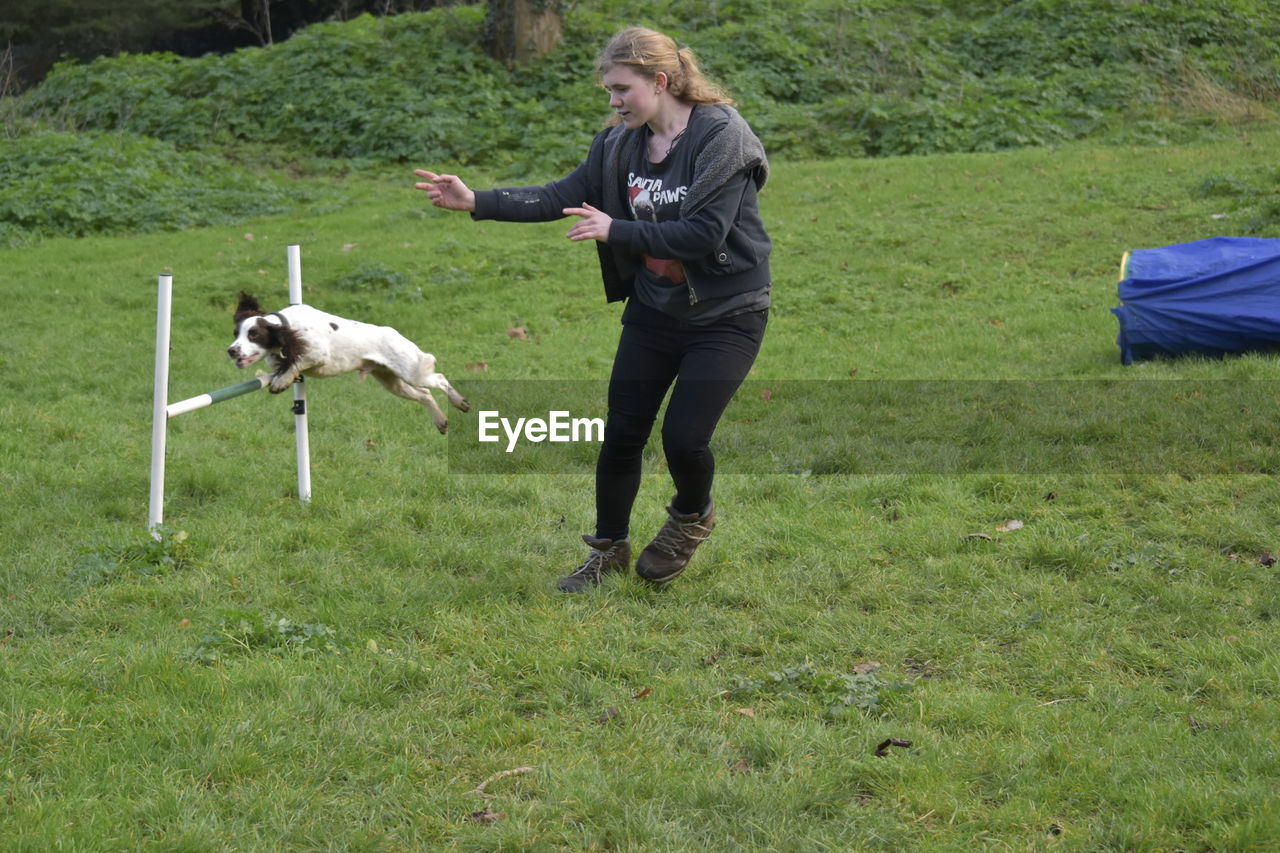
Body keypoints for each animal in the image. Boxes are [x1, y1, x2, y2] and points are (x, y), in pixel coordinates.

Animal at [230, 292, 471, 432]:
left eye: (253, 334)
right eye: (236, 333)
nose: (231, 351)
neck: (288, 325)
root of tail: (396, 334)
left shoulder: (317, 353)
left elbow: (295, 363)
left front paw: (281, 381)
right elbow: (282, 364)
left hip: (411, 370)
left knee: (439, 379)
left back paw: (460, 402)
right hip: (391, 381)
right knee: (425, 394)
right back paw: (441, 422)